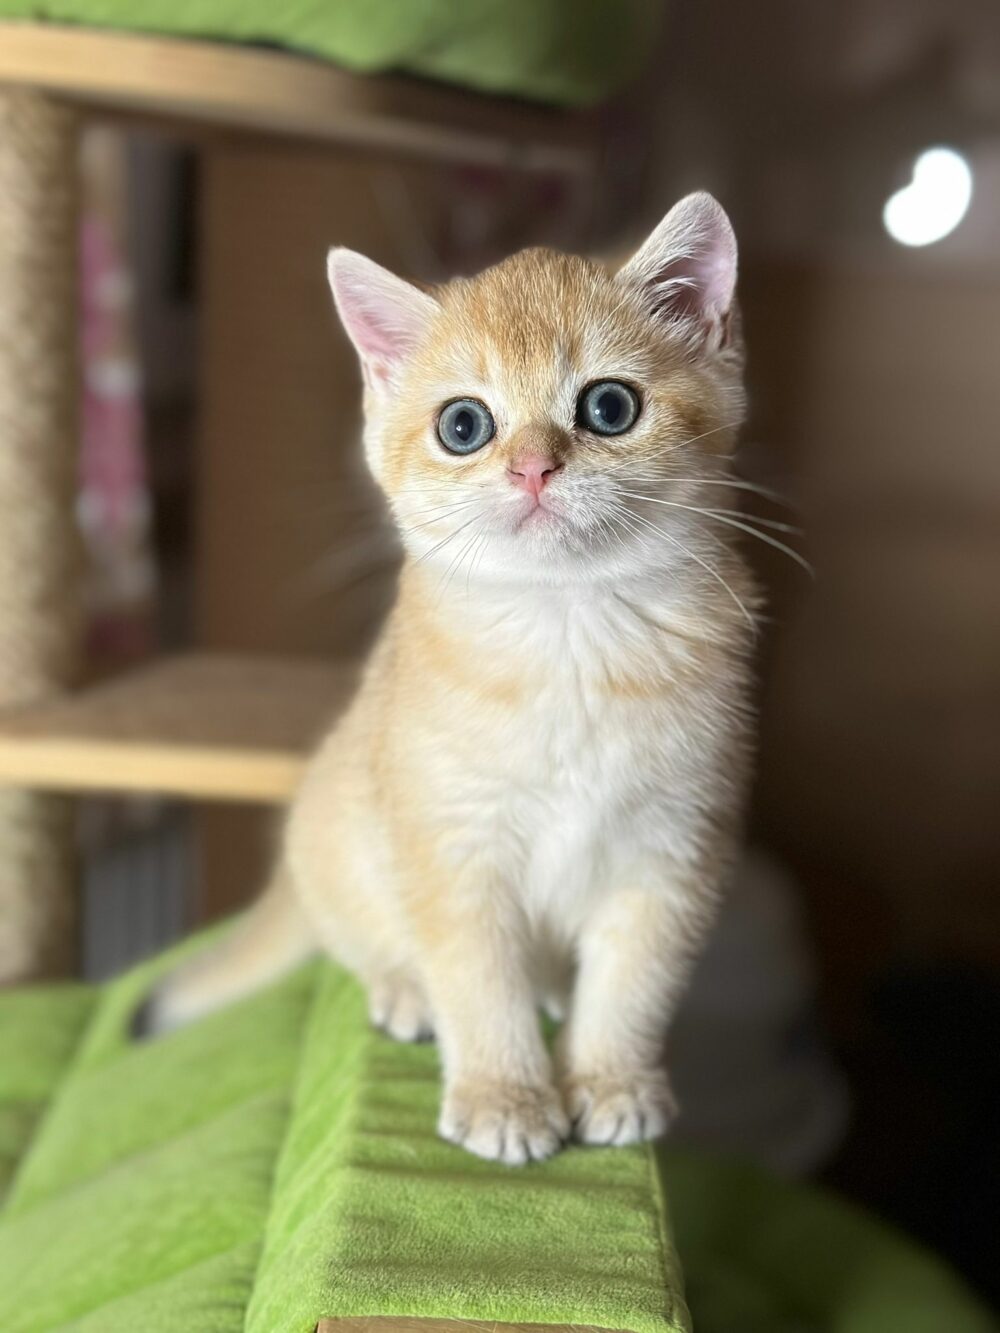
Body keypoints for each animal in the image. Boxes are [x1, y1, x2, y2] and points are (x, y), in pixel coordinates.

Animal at [137, 190, 757, 1167]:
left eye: (609, 406)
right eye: (464, 426)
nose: (533, 467)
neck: (567, 635)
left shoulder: (673, 851)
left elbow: (634, 981)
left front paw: (611, 1080)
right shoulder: (452, 848)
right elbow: (477, 978)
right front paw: (506, 1095)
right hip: (342, 835)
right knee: (366, 943)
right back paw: (406, 989)